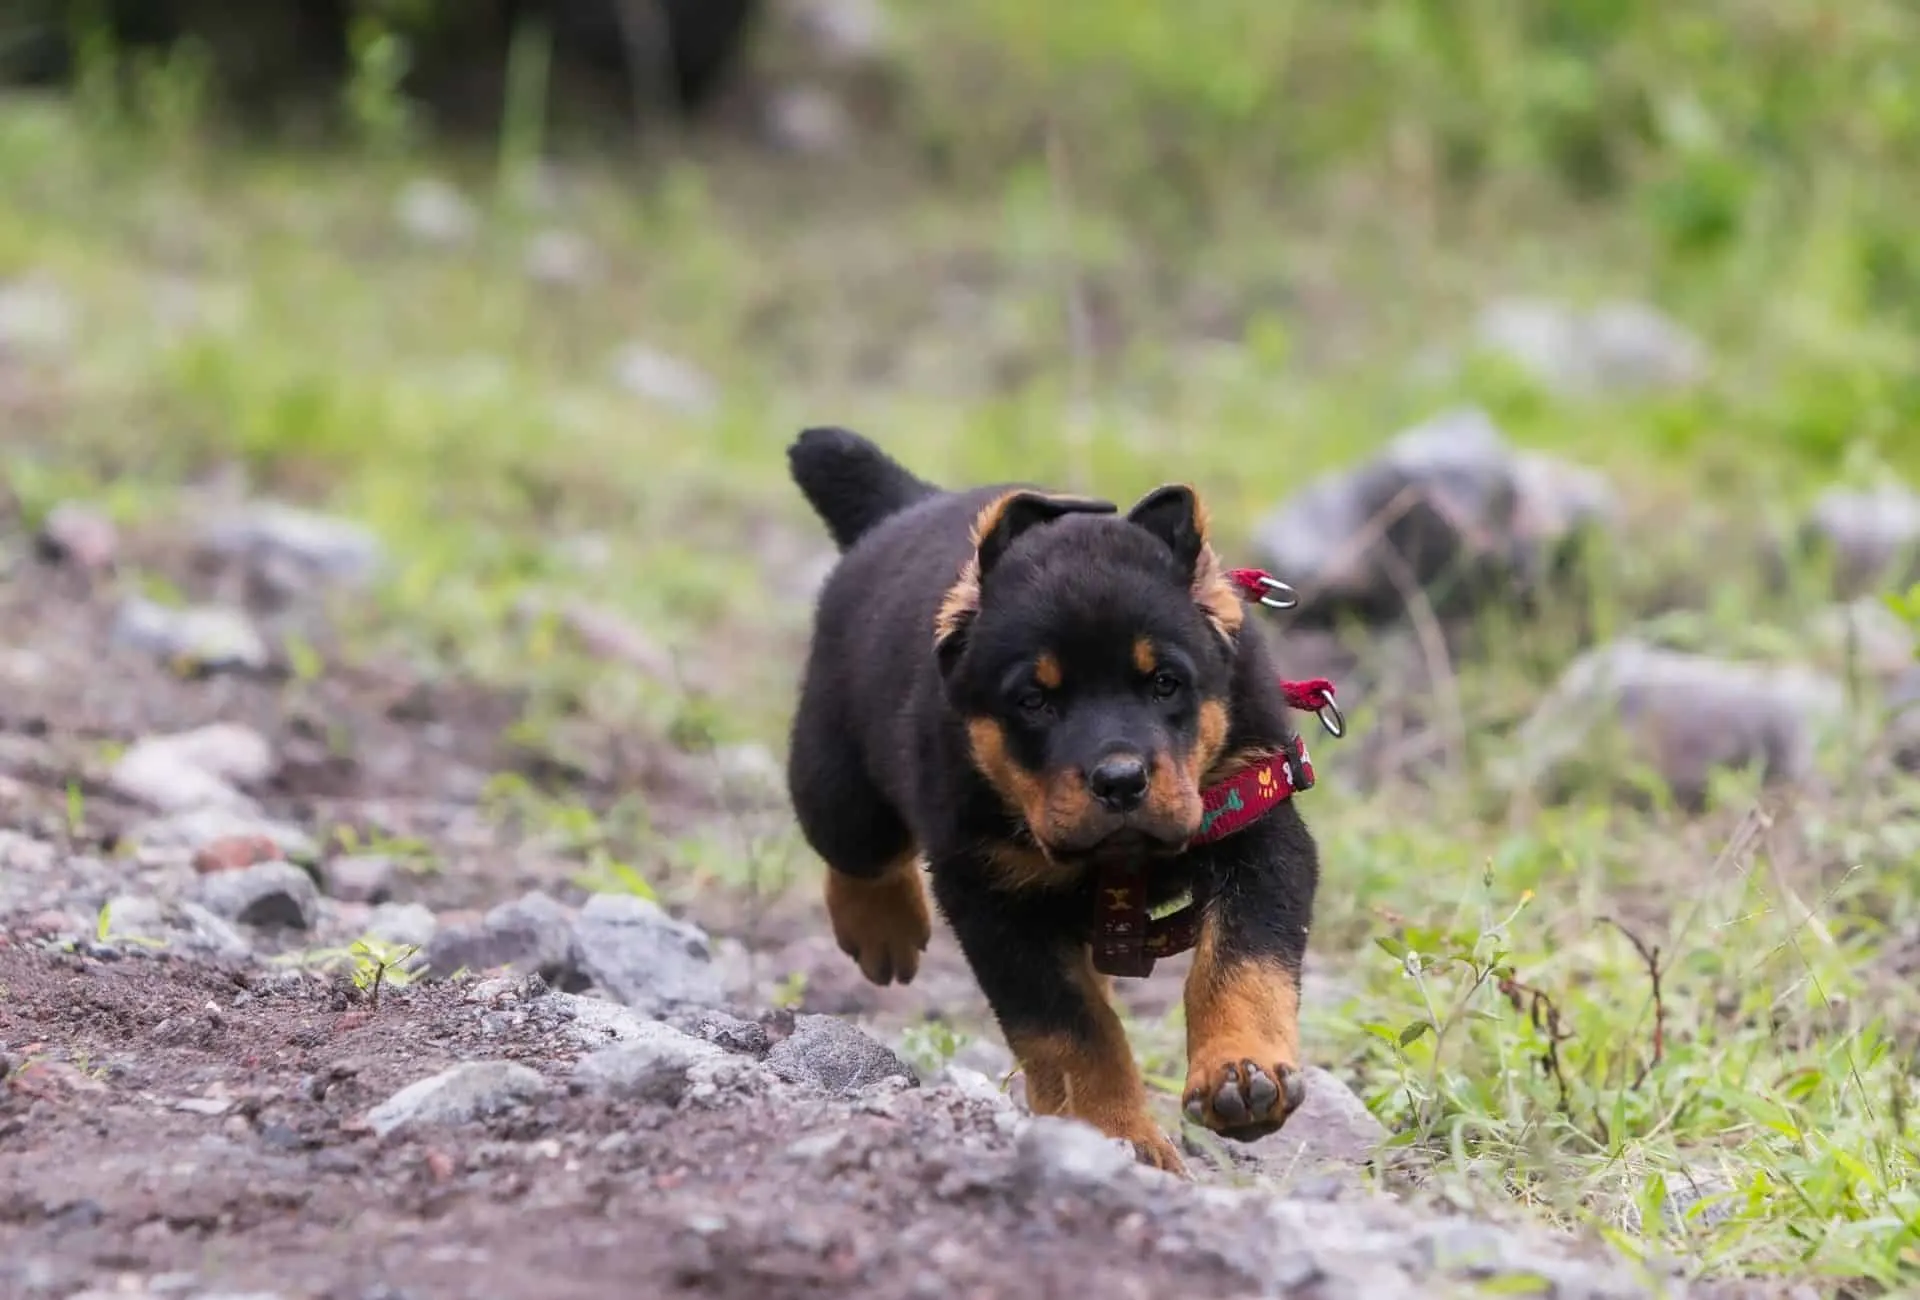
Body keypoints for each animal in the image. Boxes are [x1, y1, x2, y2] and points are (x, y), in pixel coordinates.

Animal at [779, 422, 1320, 1167]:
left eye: (1165, 684)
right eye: (1034, 701)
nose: (1120, 779)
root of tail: (909, 506)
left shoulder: (1258, 821)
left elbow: (1242, 961)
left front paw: (1241, 1073)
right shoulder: (990, 892)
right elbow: (1072, 1028)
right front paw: (1118, 1134)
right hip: (837, 781)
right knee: (857, 850)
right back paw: (882, 929)